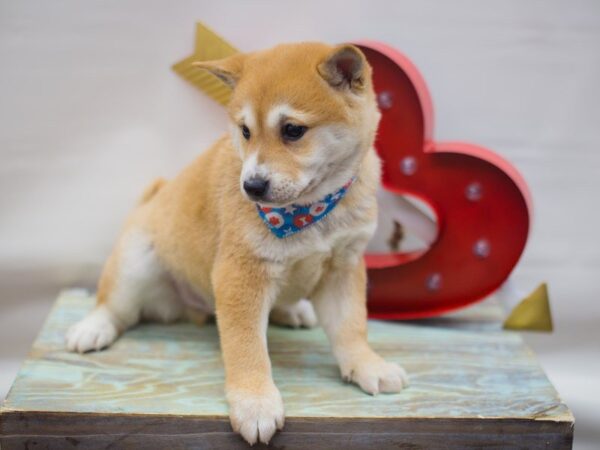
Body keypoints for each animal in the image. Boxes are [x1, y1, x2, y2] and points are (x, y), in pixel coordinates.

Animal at [68, 41, 410, 442]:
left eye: (293, 130)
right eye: (245, 131)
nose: (252, 186)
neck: (309, 211)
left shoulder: (344, 266)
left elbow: (351, 327)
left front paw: (367, 365)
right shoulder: (241, 274)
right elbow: (246, 347)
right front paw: (256, 402)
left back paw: (293, 310)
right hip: (134, 264)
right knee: (115, 307)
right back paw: (93, 328)